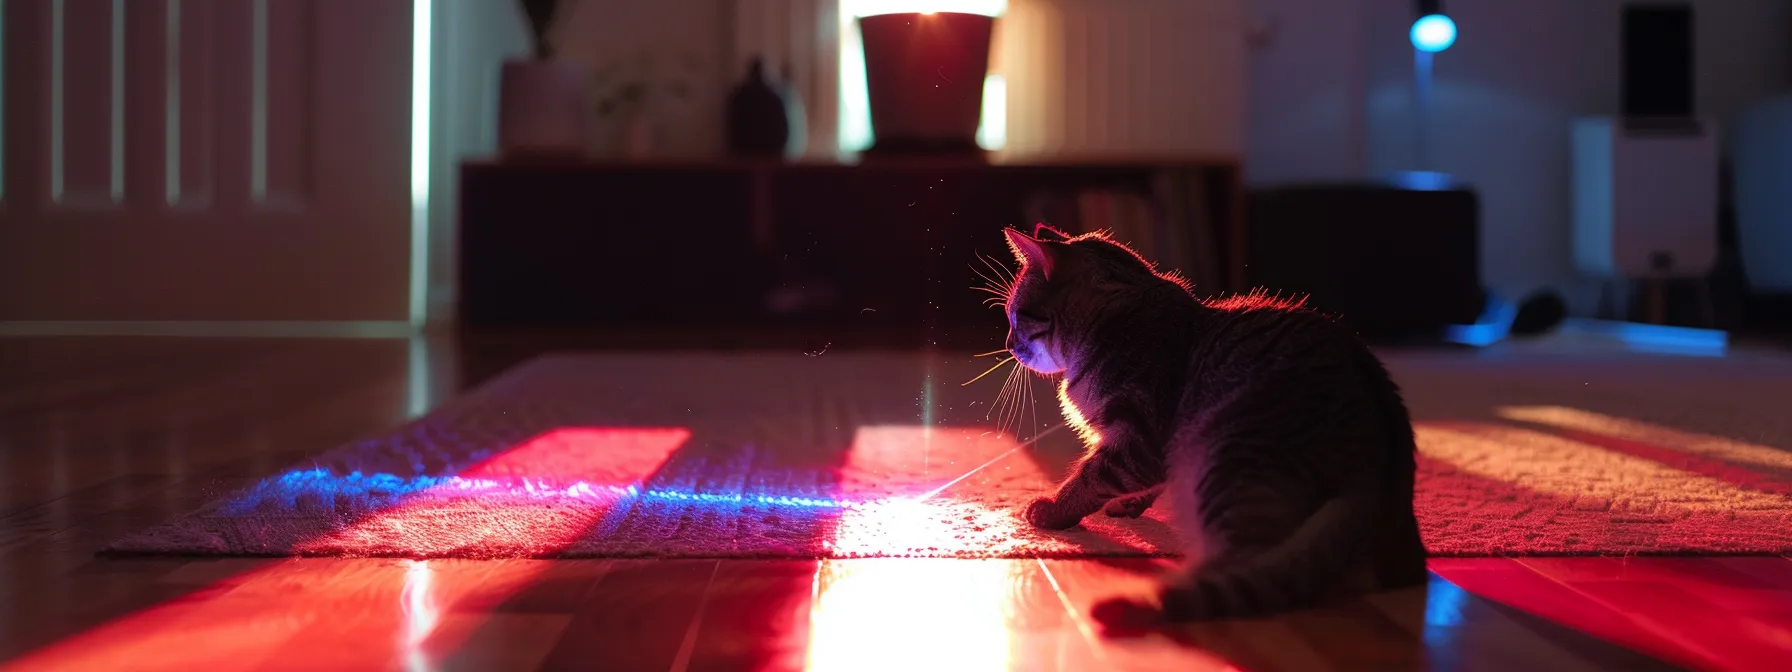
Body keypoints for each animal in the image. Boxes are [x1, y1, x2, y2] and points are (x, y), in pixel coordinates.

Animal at [996, 224, 1426, 627]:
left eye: (1015, 316)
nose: (1008, 344)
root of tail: (1381, 479)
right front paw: (1130, 504)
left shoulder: (1137, 440)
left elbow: (1089, 478)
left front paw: (1054, 509)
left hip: (1225, 463)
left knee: (1248, 567)